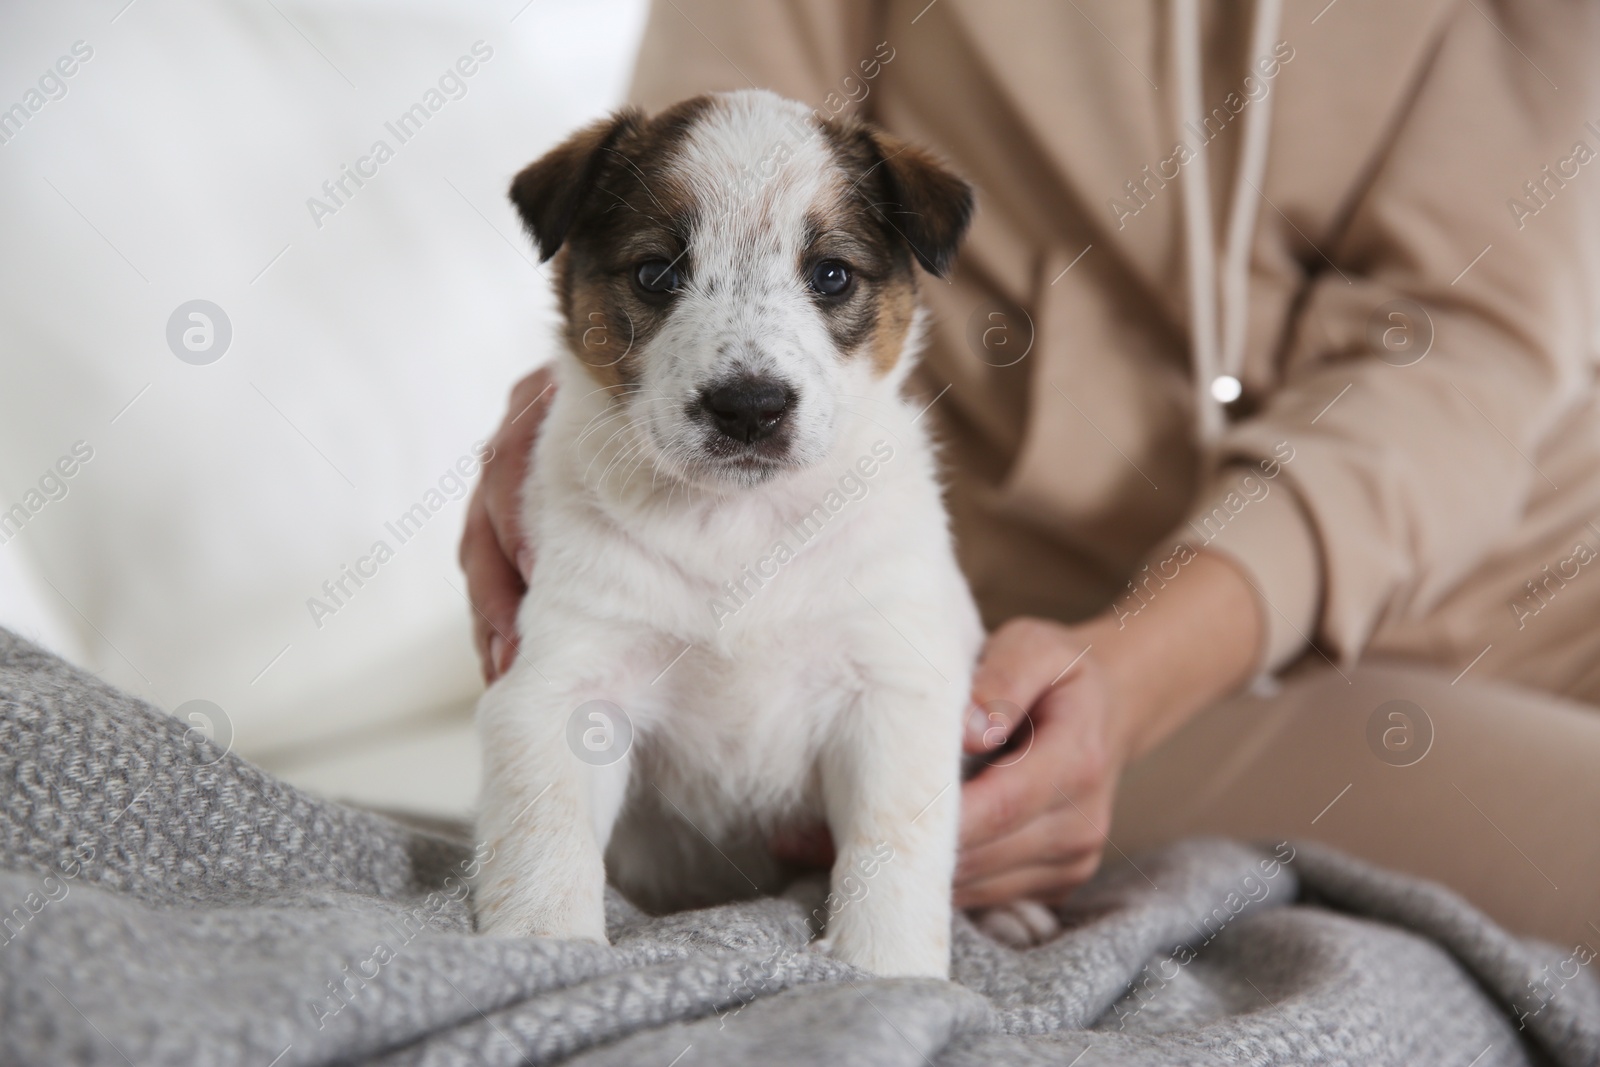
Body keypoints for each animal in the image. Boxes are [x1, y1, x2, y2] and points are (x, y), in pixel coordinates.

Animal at [467, 87, 979, 979]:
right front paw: (545, 946)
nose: (749, 407)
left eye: (830, 274)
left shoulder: (892, 687)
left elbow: (894, 846)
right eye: (656, 272)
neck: (734, 527)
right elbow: (544, 832)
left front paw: (887, 968)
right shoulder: (564, 679)